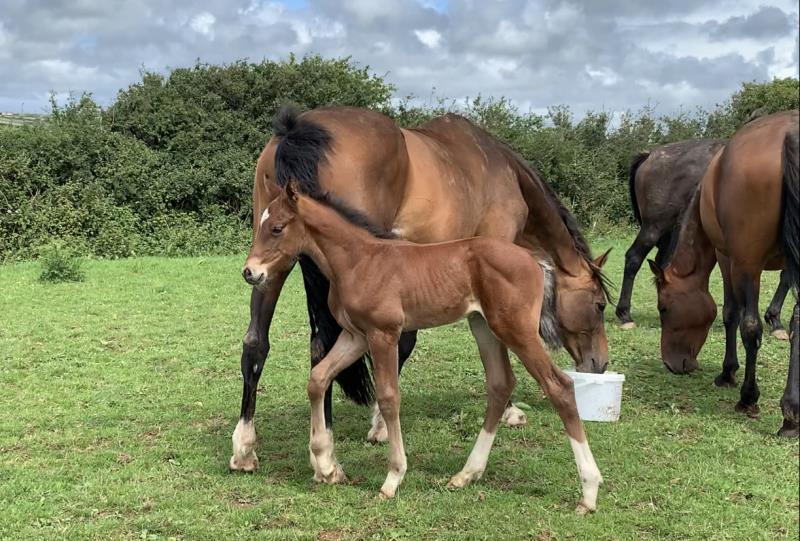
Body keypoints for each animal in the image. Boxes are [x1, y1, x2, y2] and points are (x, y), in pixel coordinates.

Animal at [648, 110, 800, 434]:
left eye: (664, 308)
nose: (670, 364)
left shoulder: (727, 257)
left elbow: (731, 314)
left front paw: (728, 373)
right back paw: (791, 414)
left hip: (746, 263)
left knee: (750, 326)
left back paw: (748, 398)